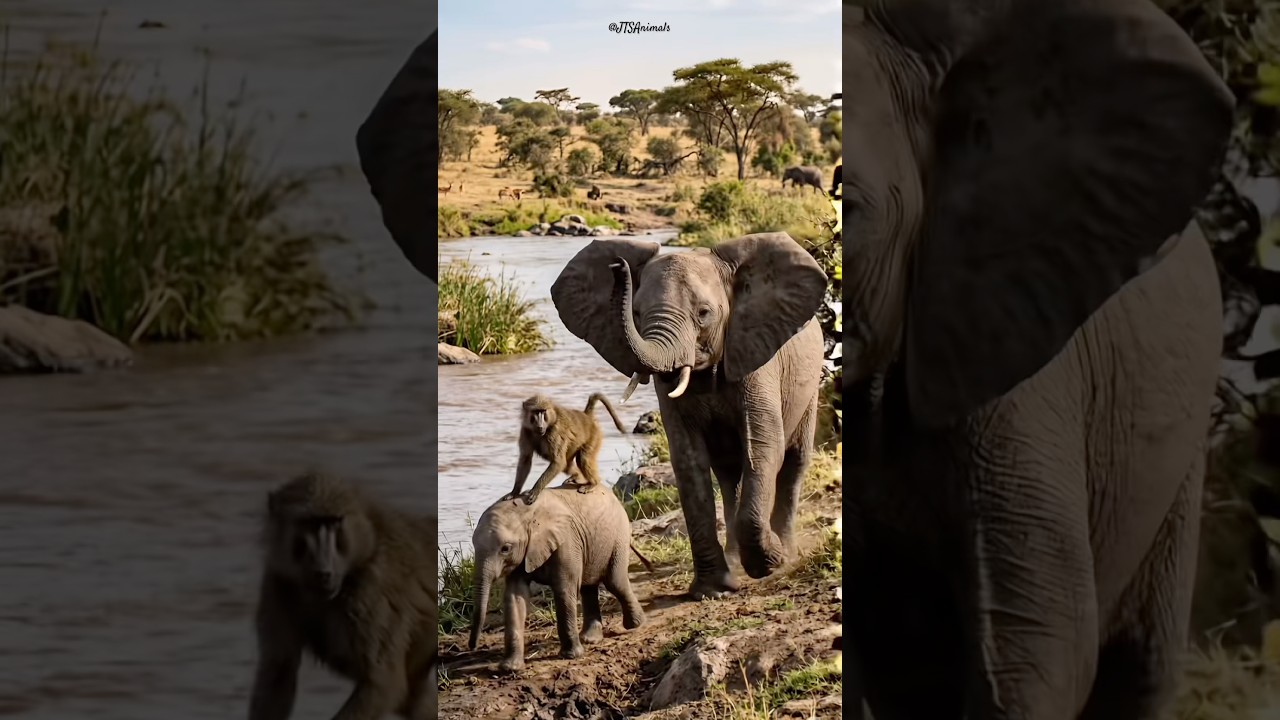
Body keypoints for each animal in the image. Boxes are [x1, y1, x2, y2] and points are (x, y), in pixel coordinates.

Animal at [248, 472, 438, 720]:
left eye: (333, 523)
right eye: (310, 523)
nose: (324, 572)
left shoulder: (372, 592)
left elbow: (382, 682)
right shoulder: (278, 583)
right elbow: (279, 672)